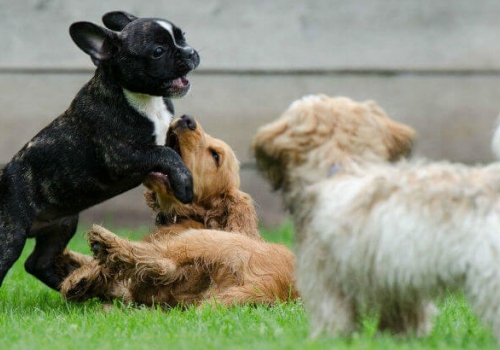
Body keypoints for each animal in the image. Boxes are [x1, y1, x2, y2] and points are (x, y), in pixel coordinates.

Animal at [0, 10, 199, 290]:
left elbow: (174, 151)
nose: (190, 52)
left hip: (64, 223)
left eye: (183, 37)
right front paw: (184, 184)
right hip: (10, 233)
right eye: (158, 51)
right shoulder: (123, 156)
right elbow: (165, 154)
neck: (144, 99)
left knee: (36, 263)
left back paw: (70, 286)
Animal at [61, 115, 296, 306]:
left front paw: (81, 274)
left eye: (216, 156)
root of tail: (270, 285)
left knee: (162, 262)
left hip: (202, 240)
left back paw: (103, 245)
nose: (186, 119)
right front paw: (70, 259)